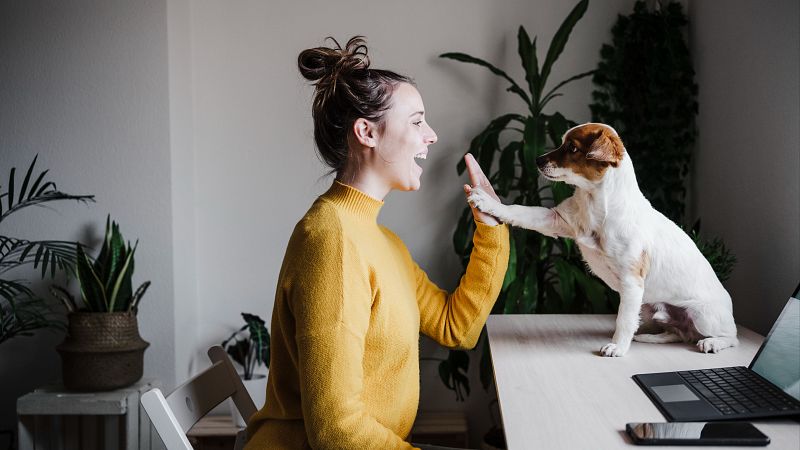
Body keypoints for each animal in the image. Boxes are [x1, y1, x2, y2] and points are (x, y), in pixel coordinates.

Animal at [468, 122, 736, 356]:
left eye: (572, 148)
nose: (537, 160)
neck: (594, 202)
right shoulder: (555, 220)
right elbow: (518, 211)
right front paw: (488, 202)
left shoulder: (631, 283)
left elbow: (623, 320)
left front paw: (617, 347)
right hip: (650, 306)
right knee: (678, 333)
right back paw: (650, 336)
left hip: (701, 315)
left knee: (730, 338)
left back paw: (712, 343)